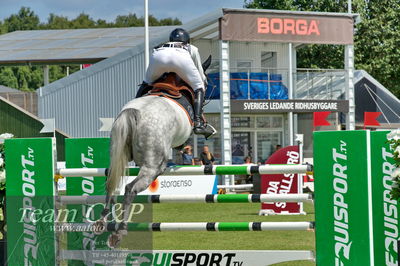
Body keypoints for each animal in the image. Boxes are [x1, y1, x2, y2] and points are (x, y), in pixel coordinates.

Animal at [97, 56, 212, 247]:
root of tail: (133, 112)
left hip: (117, 155)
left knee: (111, 184)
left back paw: (101, 222)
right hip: (153, 167)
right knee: (130, 189)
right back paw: (120, 231)